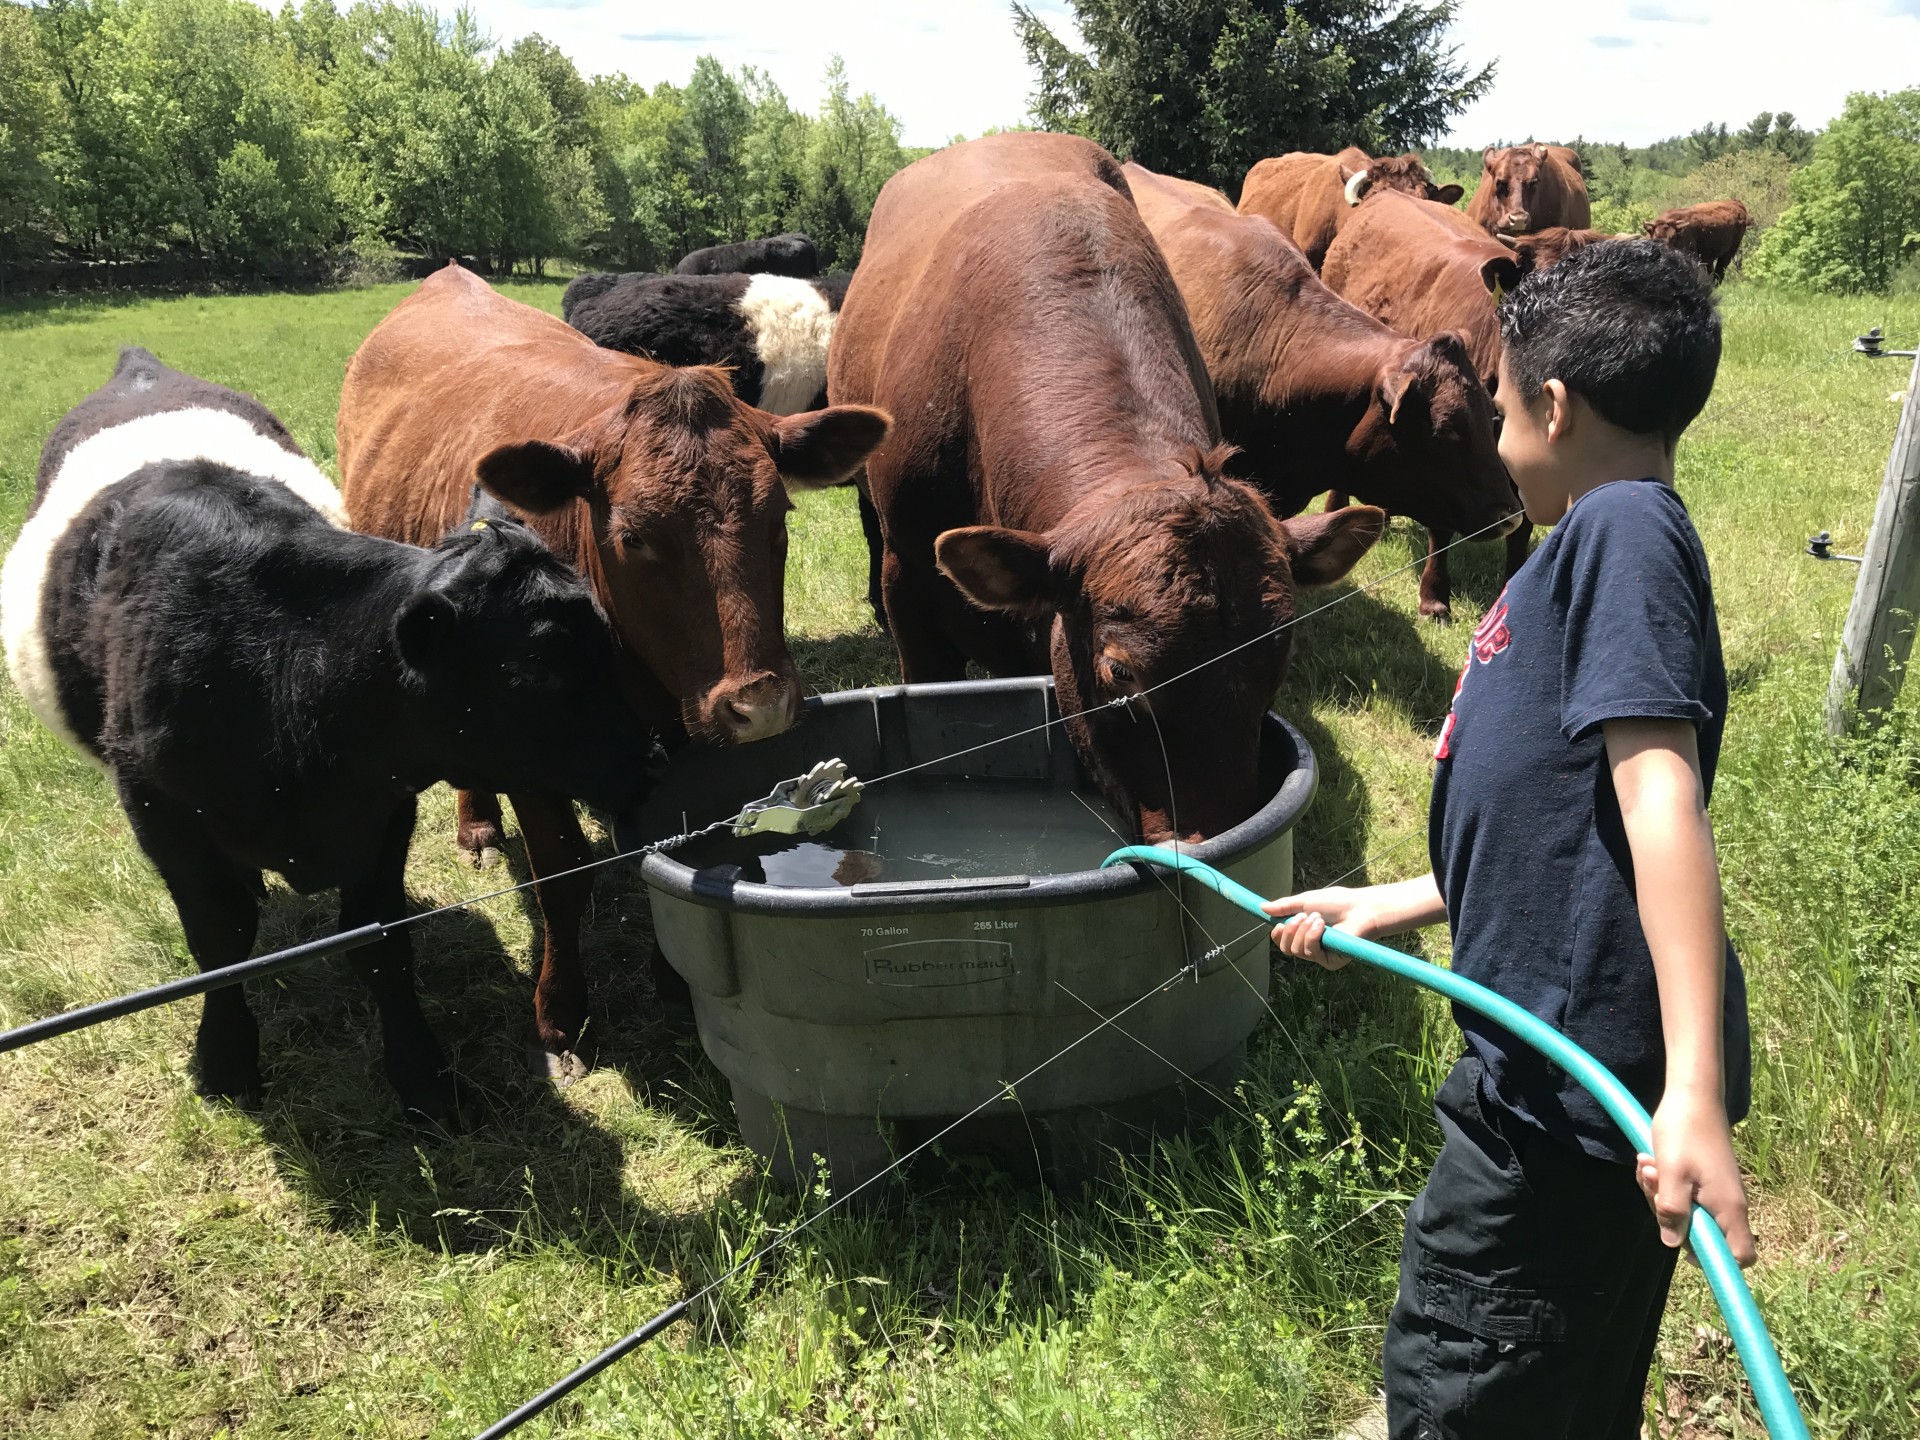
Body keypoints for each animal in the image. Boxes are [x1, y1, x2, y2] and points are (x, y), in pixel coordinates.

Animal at [0, 347, 657, 1121]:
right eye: (537, 671)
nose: (648, 763)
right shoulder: (161, 814)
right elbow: (217, 943)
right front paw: (226, 1063)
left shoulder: (382, 815)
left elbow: (380, 944)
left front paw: (423, 1079)